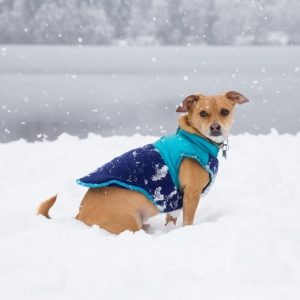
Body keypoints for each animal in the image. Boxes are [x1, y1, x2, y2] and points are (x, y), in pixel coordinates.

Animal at [37, 91, 248, 234]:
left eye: (225, 111)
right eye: (203, 113)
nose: (215, 127)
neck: (194, 139)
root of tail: (79, 215)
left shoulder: (175, 200)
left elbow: (172, 219)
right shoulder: (191, 194)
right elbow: (188, 220)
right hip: (129, 223)